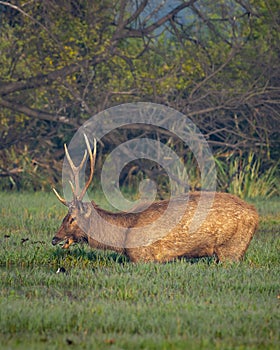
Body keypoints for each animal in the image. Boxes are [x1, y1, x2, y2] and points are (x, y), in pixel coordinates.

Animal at [52, 135, 258, 264]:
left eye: (72, 218)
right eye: (64, 216)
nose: (54, 239)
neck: (122, 238)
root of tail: (255, 215)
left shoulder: (142, 257)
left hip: (230, 249)